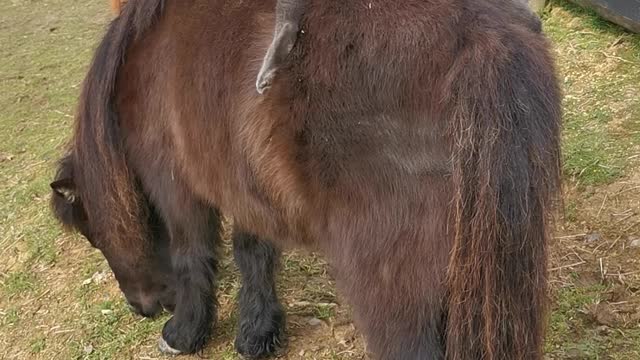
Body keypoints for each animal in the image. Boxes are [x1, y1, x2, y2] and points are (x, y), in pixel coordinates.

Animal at [48, 0, 560, 358]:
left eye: (93, 234)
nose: (145, 308)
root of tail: (480, 38)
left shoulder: (176, 186)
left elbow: (191, 253)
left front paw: (185, 334)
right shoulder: (240, 178)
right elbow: (251, 251)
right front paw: (257, 333)